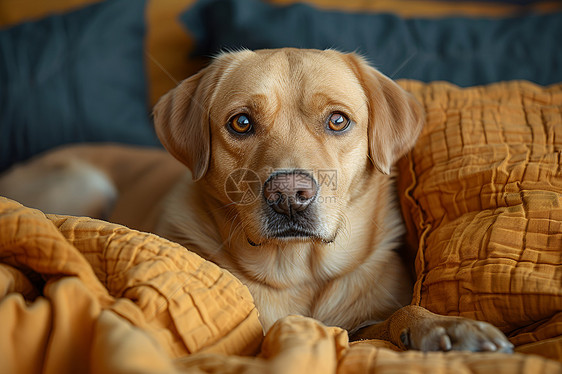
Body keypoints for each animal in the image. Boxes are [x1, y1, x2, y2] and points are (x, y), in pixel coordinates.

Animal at [0, 48, 512, 352]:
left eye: (338, 120)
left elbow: (395, 316)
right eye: (241, 123)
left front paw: (447, 326)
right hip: (83, 183)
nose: (290, 195)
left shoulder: (363, 319)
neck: (299, 274)